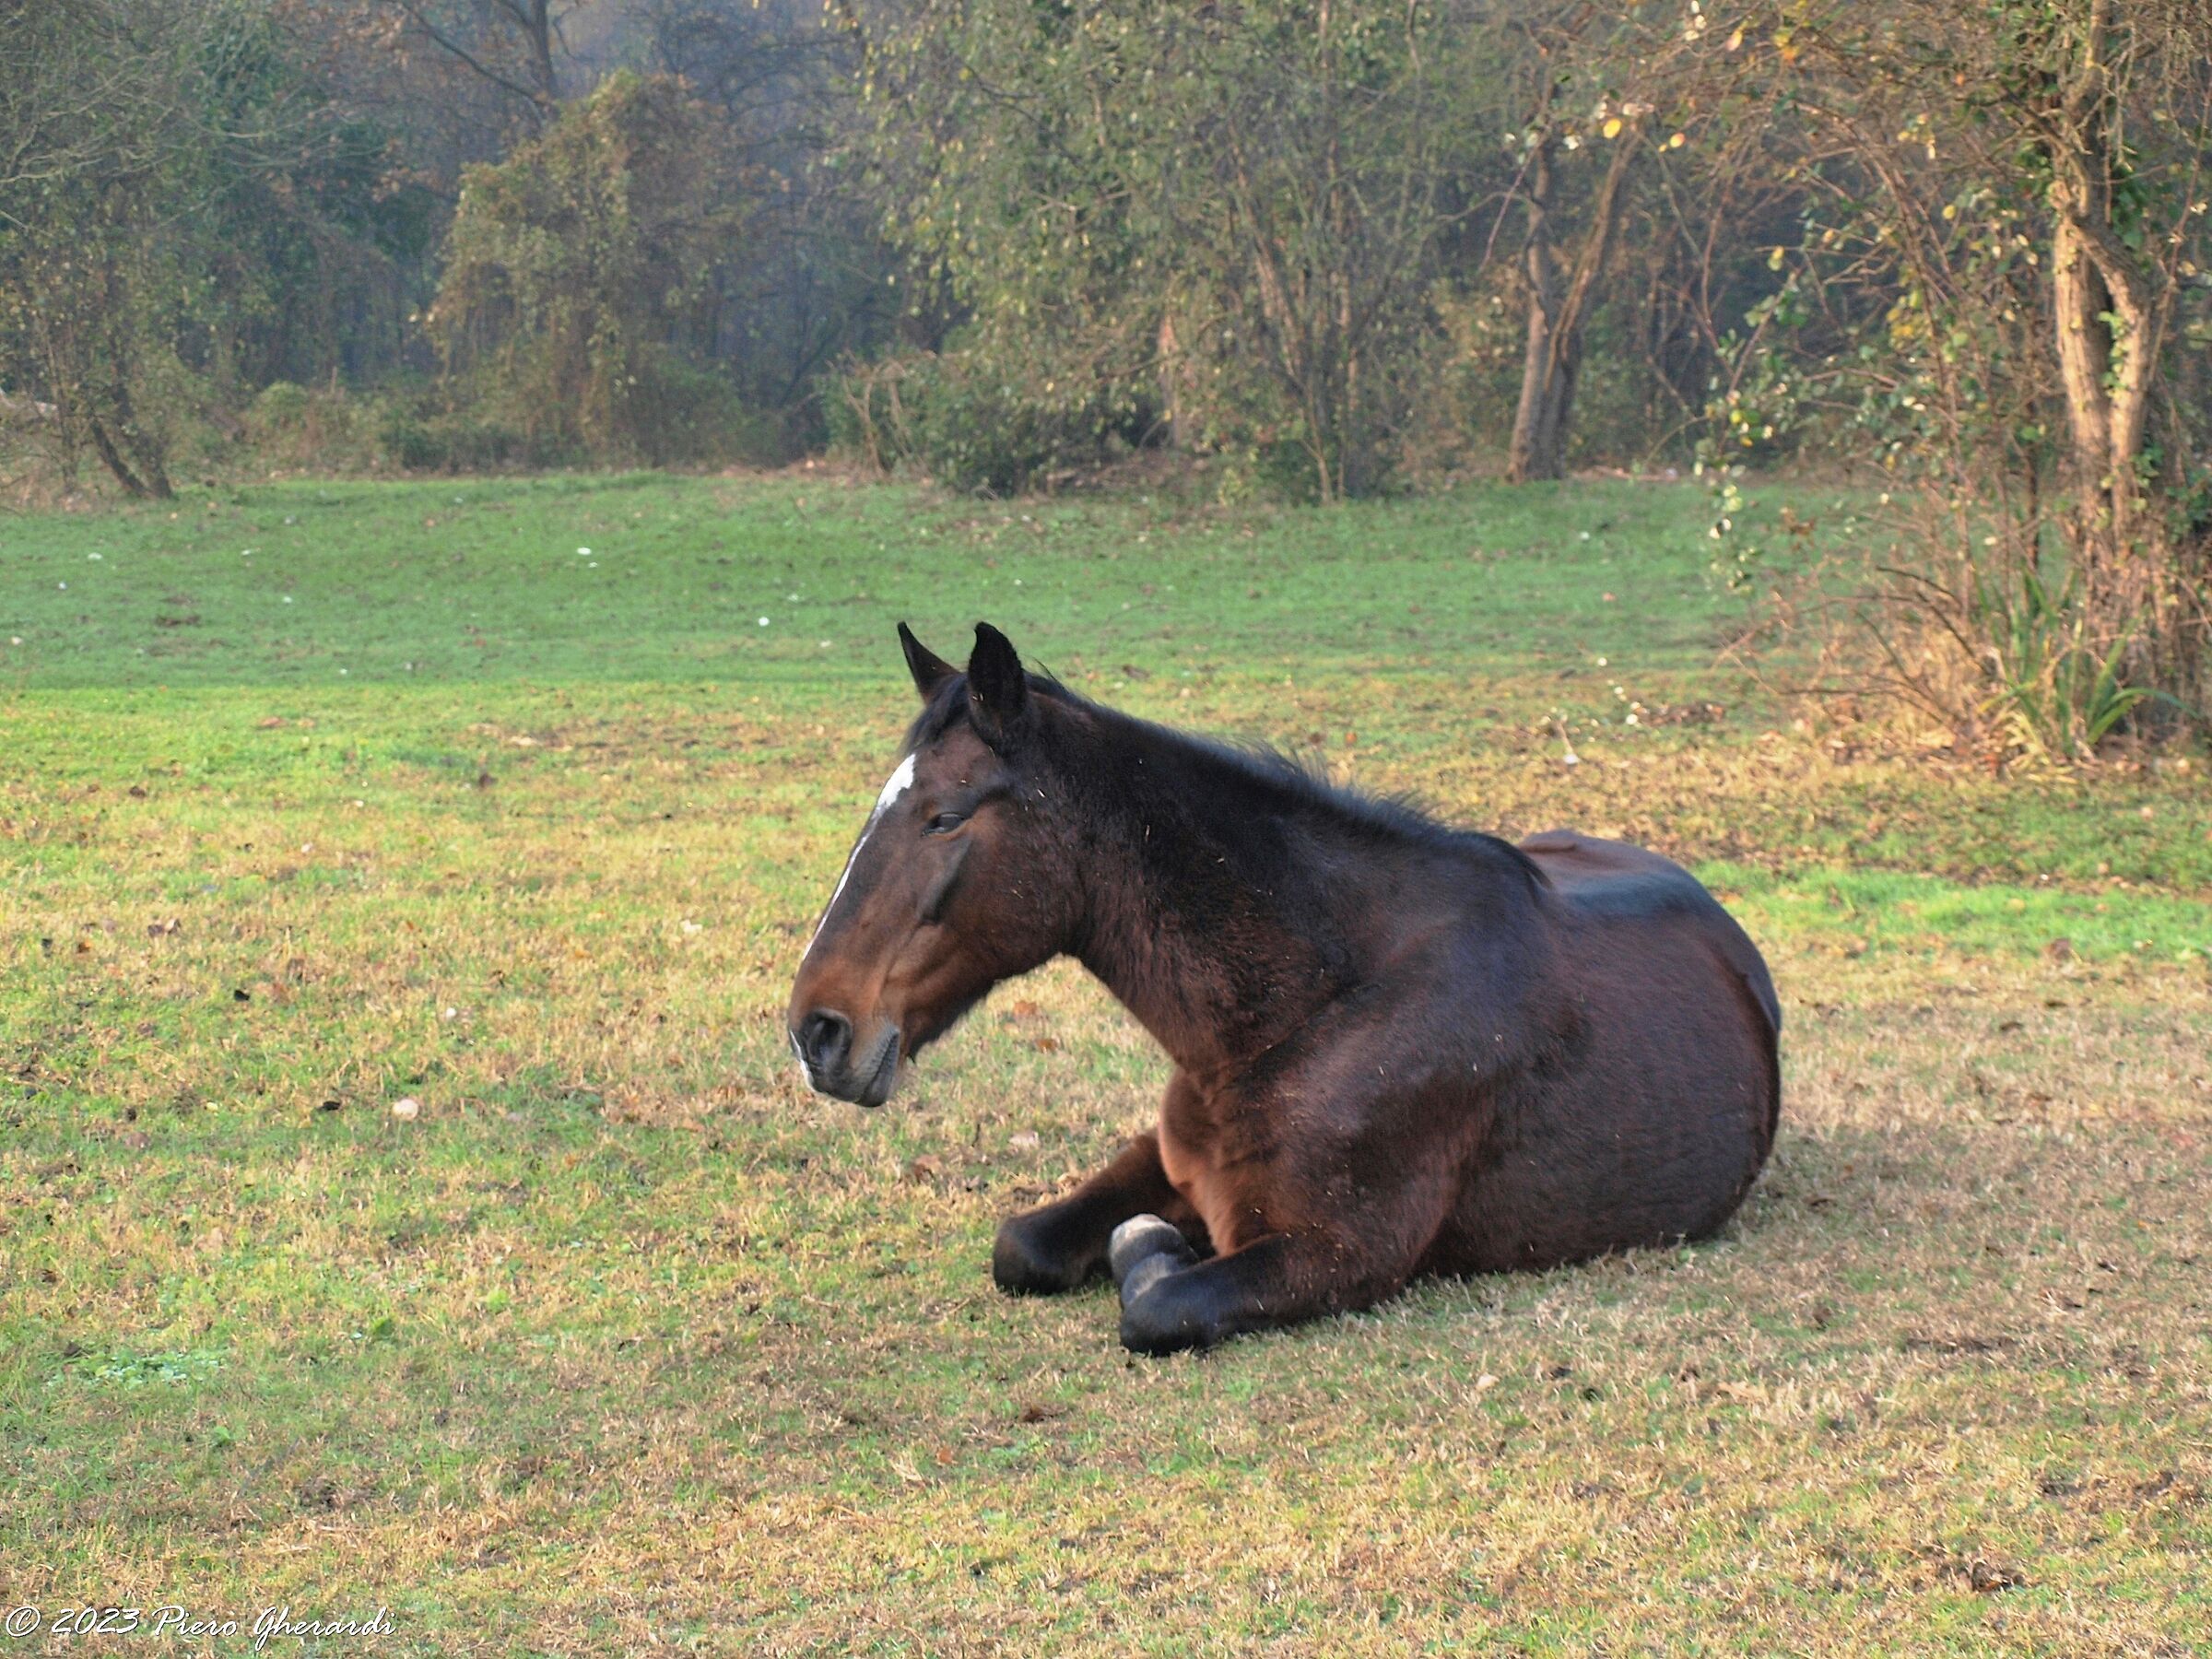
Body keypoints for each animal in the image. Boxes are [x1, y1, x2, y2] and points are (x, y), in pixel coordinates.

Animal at [787, 623, 1781, 1355]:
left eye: (943, 817)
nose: (816, 1032)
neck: (1311, 1008)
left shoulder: (1340, 1257)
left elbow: (1158, 1301)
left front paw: (1155, 1250)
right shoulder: (1164, 1158)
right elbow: (1022, 1246)